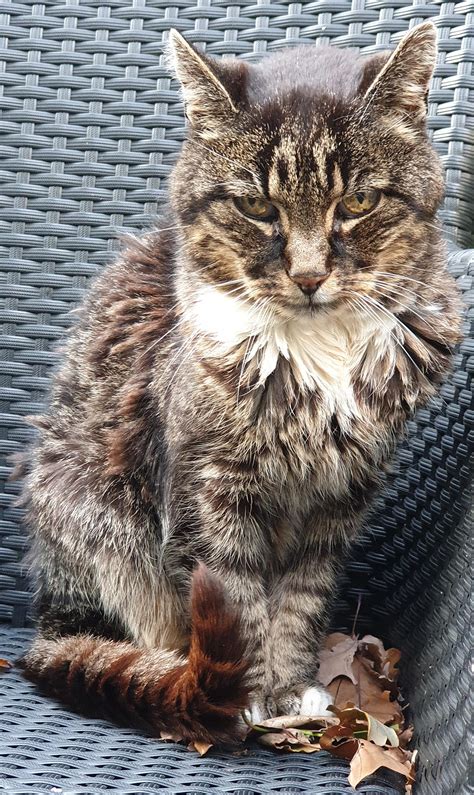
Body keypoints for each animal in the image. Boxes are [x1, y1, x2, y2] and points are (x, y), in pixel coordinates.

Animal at [17, 23, 460, 748]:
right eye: (255, 206)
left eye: (358, 202)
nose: (308, 276)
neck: (319, 350)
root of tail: (49, 620)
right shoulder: (210, 488)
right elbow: (236, 596)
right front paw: (246, 699)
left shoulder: (340, 498)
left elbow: (300, 601)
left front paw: (289, 690)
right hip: (94, 519)